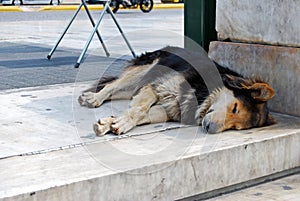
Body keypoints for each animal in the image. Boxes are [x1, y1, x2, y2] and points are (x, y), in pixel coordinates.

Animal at [78, 46, 276, 136]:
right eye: (234, 108)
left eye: (236, 127)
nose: (209, 128)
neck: (204, 93)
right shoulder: (156, 87)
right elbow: (139, 110)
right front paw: (121, 122)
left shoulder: (169, 108)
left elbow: (144, 114)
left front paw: (110, 122)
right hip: (145, 70)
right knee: (111, 86)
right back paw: (93, 98)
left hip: (137, 84)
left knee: (118, 91)